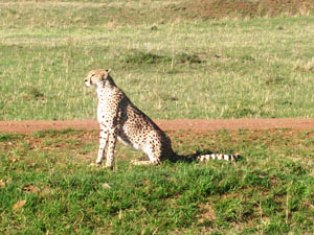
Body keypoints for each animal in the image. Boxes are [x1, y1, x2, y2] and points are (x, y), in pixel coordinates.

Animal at [83, 68, 238, 169]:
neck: (102, 90)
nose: (85, 80)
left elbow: (110, 148)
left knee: (157, 161)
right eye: (89, 73)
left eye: (93, 74)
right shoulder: (104, 127)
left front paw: (108, 165)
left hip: (154, 134)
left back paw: (138, 163)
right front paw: (97, 163)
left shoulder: (113, 127)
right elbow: (101, 147)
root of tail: (171, 151)